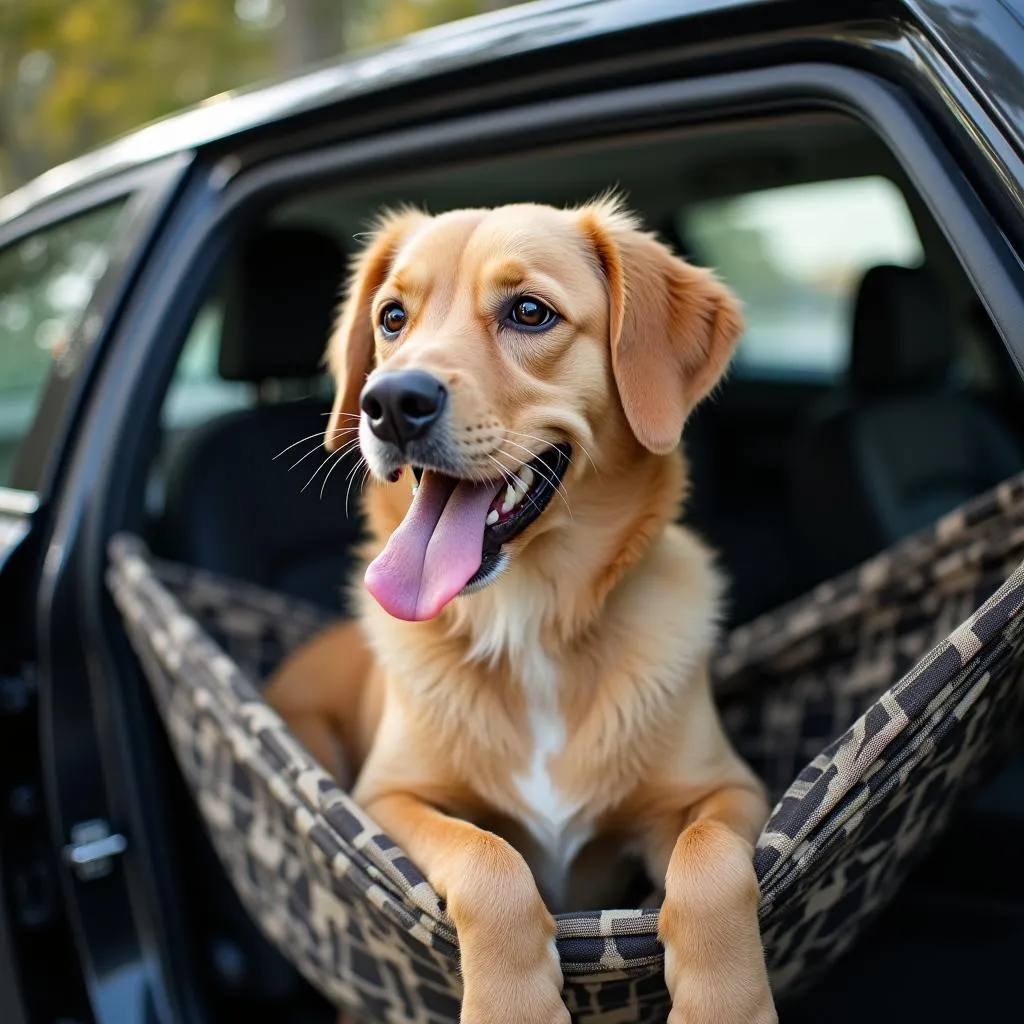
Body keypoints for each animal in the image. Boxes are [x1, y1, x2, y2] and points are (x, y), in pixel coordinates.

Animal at [264, 197, 774, 1024]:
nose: (389, 404)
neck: (529, 626)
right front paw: (514, 1002)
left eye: (529, 312)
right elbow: (488, 855)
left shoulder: (725, 788)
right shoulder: (384, 800)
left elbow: (711, 862)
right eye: (393, 317)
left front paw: (726, 1005)